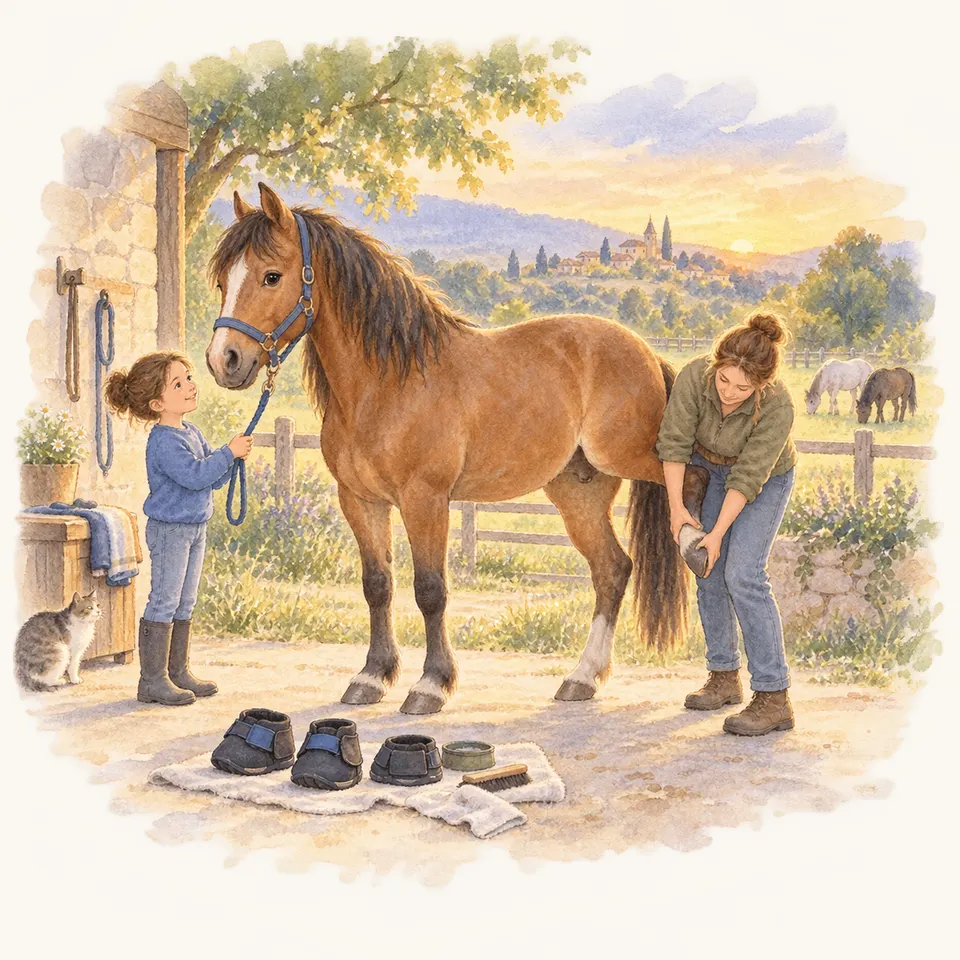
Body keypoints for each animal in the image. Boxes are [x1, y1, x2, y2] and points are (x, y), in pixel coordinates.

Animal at [204, 183, 693, 715]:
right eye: (222, 280)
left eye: (272, 275)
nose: (225, 360)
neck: (386, 383)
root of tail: (647, 351)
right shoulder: (360, 500)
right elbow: (377, 586)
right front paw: (371, 677)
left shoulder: (426, 500)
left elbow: (430, 590)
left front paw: (430, 685)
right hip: (578, 492)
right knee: (612, 570)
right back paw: (582, 678)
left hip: (632, 461)